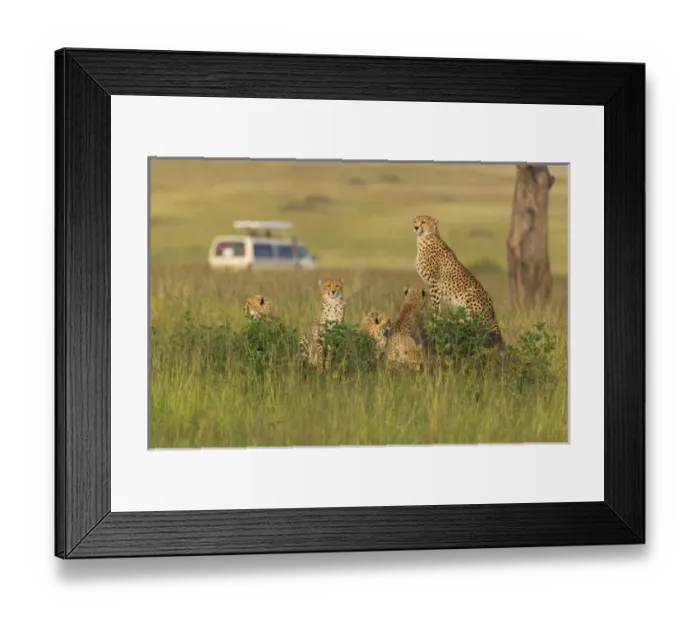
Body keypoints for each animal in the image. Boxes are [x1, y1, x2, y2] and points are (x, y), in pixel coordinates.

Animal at [413, 215, 504, 349]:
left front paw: (434, 322)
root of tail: (492, 311)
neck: (424, 239)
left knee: (476, 324)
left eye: (423, 222)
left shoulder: (434, 283)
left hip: (471, 293)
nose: (416, 227)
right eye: (415, 221)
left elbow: (435, 306)